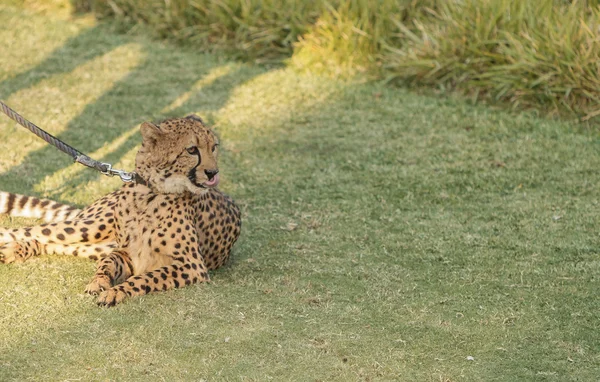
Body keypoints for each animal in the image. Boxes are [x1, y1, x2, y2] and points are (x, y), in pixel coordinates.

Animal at [0, 115, 240, 306]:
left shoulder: (192, 265)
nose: (213, 172)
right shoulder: (125, 252)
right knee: (31, 231)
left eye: (214, 147)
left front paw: (115, 291)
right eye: (191, 150)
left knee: (52, 243)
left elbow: (148, 276)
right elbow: (108, 263)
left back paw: (14, 251)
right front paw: (99, 282)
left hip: (93, 244)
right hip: (91, 227)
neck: (150, 193)